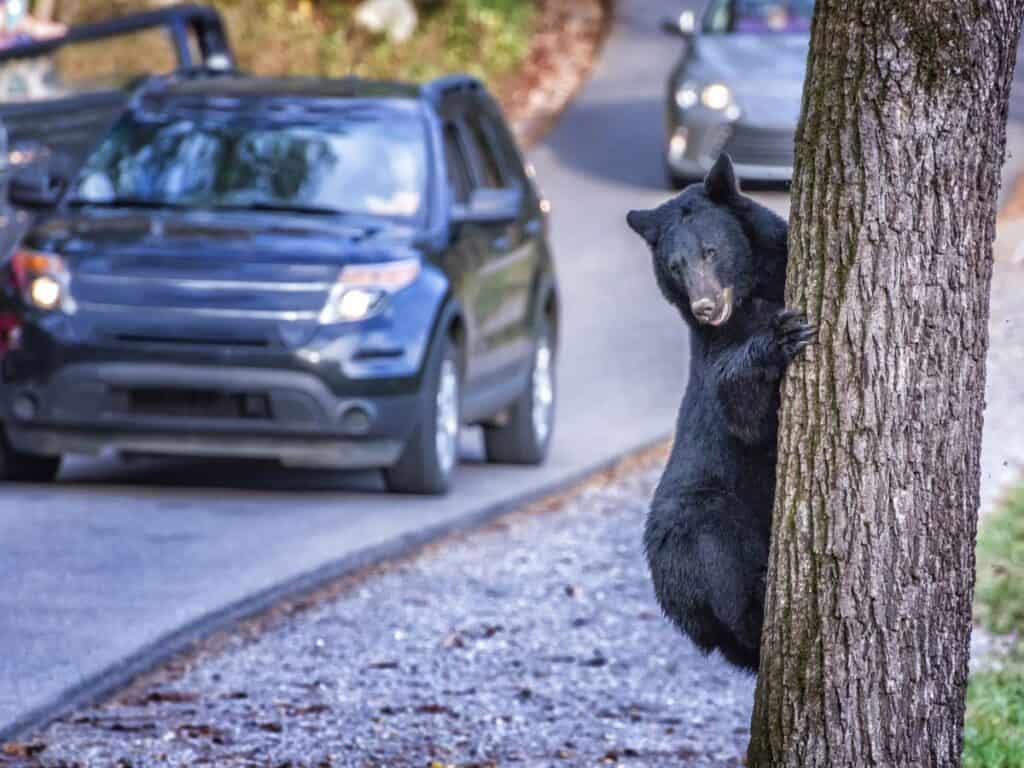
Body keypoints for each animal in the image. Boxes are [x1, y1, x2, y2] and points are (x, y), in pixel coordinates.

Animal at [626, 153, 814, 673]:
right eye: (675, 265)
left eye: (711, 251)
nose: (705, 307)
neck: (753, 296)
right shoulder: (714, 355)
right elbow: (742, 408)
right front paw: (782, 337)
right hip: (698, 517)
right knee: (719, 552)